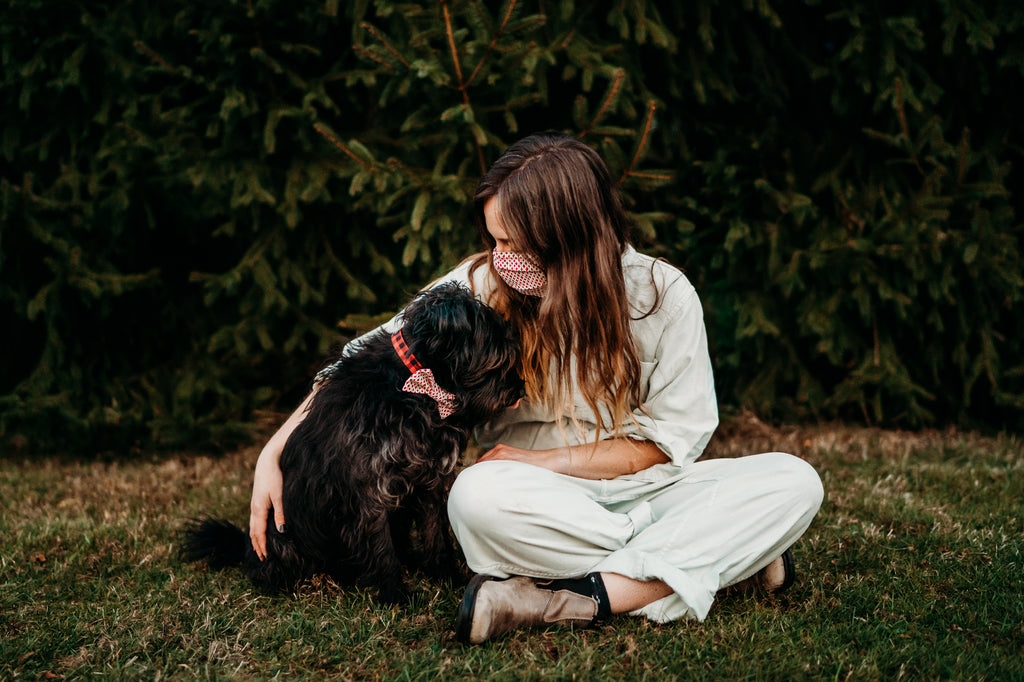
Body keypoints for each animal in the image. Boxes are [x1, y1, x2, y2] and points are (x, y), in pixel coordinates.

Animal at [179, 280, 524, 602]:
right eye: (497, 359)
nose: (520, 389)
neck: (416, 390)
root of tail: (245, 548)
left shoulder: (429, 480)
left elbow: (435, 535)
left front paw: (446, 577)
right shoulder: (368, 490)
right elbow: (382, 549)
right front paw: (394, 596)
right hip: (283, 538)